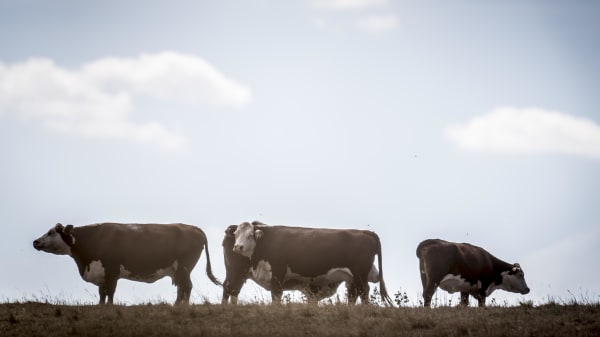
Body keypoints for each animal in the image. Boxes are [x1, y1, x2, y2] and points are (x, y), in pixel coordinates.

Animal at [32, 222, 221, 304]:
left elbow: (110, 292)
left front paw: (109, 307)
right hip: (179, 271)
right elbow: (102, 293)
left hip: (184, 267)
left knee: (186, 287)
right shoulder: (102, 273)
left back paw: (183, 307)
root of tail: (194, 228)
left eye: (51, 232)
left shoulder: (112, 271)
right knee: (181, 288)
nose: (35, 241)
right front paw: (101, 307)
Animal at [227, 220, 392, 304]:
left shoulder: (278, 273)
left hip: (359, 274)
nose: (237, 247)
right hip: (354, 277)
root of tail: (366, 232)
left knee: (363, 292)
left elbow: (276, 295)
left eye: (250, 235)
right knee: (356, 294)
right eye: (236, 234)